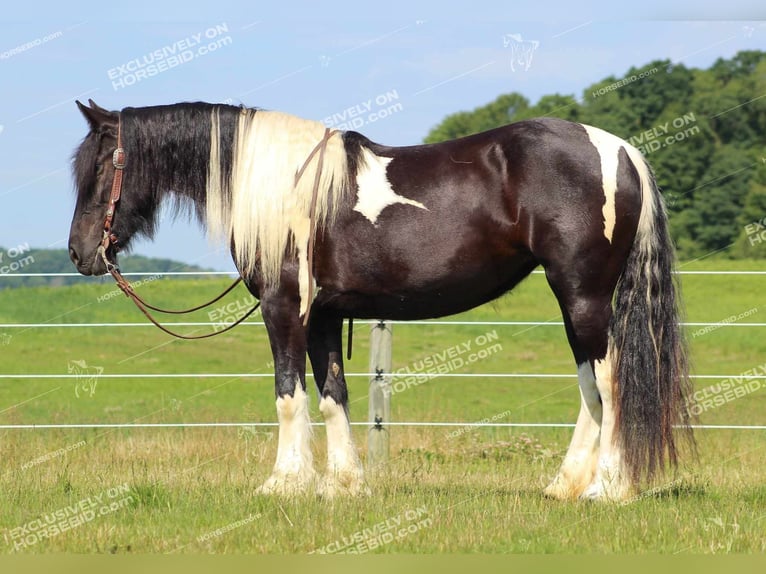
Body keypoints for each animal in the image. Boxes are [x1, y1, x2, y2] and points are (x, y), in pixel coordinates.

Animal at [70, 101, 696, 502]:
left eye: (101, 165)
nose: (81, 252)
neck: (281, 186)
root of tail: (620, 150)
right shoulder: (324, 314)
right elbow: (332, 397)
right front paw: (343, 485)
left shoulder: (283, 307)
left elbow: (289, 394)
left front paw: (283, 484)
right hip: (577, 302)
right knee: (591, 385)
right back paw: (564, 486)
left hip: (583, 294)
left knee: (611, 381)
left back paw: (607, 488)